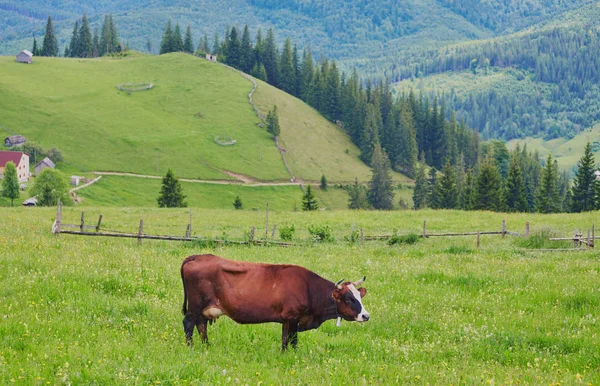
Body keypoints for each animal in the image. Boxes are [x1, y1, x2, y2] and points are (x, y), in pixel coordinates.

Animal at [180, 255, 368, 352]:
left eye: (360, 296)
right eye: (349, 299)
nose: (366, 315)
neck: (308, 287)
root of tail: (199, 256)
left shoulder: (286, 320)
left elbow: (285, 339)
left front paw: (284, 354)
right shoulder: (293, 318)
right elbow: (293, 340)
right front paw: (294, 355)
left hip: (203, 309)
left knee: (201, 325)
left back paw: (207, 346)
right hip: (195, 306)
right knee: (189, 323)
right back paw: (190, 347)